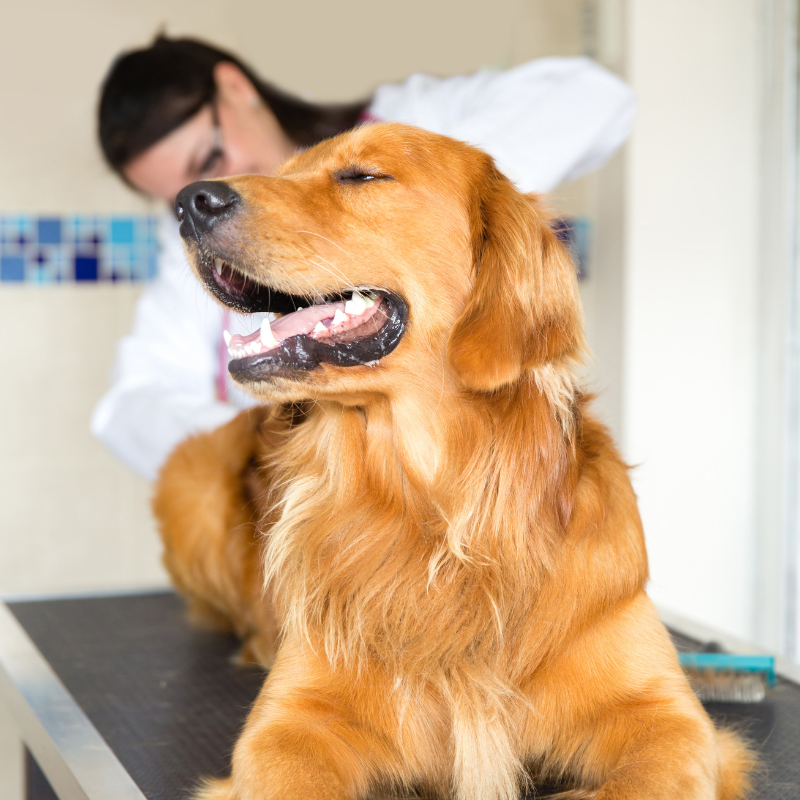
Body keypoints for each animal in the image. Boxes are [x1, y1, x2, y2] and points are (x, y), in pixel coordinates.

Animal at [155, 120, 756, 800]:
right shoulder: (289, 723)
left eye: (362, 175)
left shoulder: (667, 716)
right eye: (285, 170)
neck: (433, 500)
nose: (189, 200)